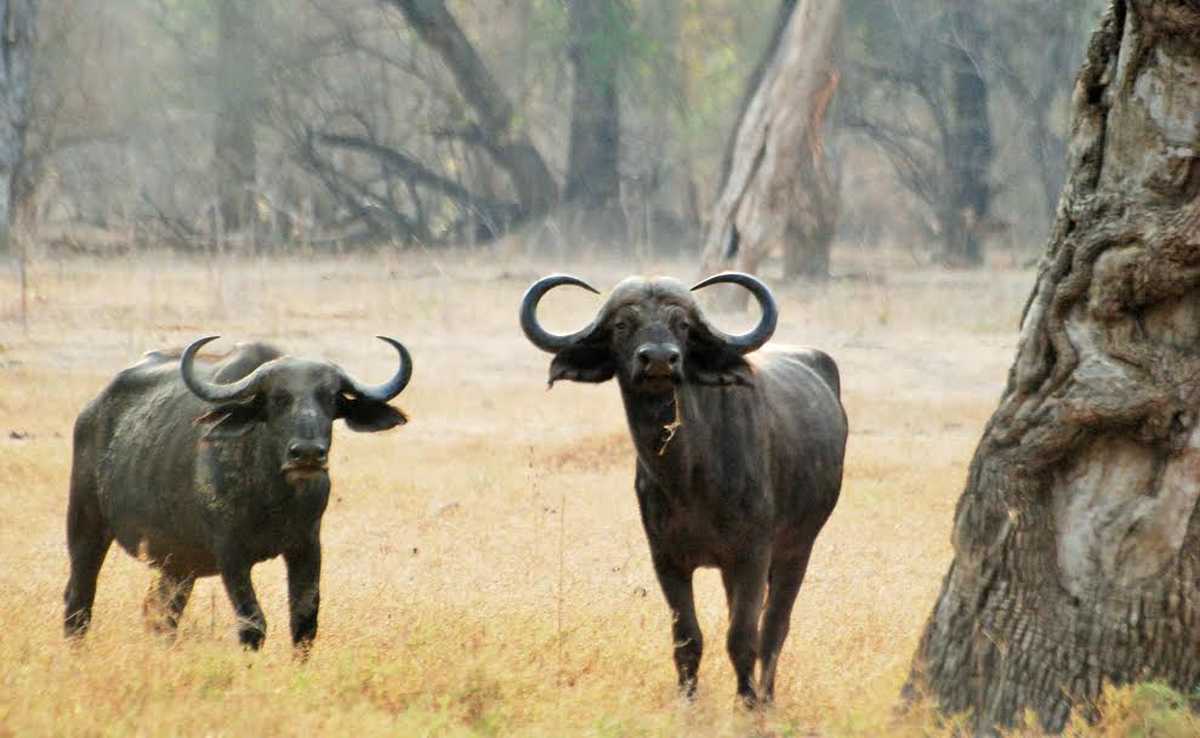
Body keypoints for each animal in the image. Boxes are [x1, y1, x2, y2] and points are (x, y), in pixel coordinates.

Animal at [64, 336, 412, 652]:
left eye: (330, 398)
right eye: (278, 398)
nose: (308, 453)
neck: (274, 497)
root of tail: (91, 411)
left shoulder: (307, 545)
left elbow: (304, 622)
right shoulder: (231, 553)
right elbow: (253, 623)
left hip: (177, 563)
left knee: (159, 613)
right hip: (86, 526)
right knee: (79, 599)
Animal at [520, 272, 849, 705]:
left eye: (683, 326)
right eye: (622, 325)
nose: (660, 360)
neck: (689, 476)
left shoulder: (752, 554)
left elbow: (743, 637)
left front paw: (746, 704)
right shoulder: (667, 559)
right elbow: (687, 639)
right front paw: (687, 701)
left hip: (798, 547)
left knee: (775, 626)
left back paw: (766, 697)